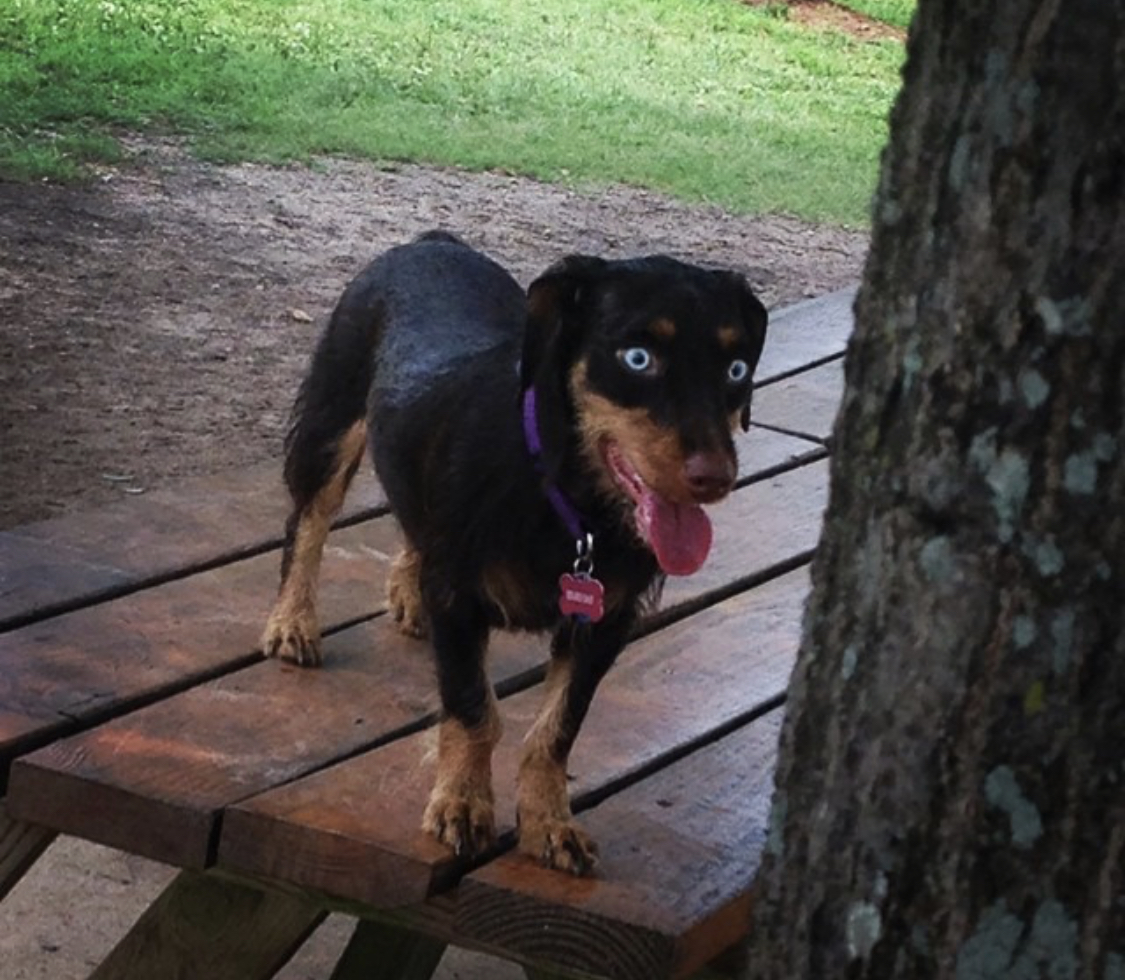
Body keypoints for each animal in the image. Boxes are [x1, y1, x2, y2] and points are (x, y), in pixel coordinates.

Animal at [263, 234, 769, 877]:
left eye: (737, 368)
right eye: (637, 358)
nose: (715, 478)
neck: (570, 501)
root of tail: (432, 241)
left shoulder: (605, 623)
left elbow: (558, 728)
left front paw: (550, 823)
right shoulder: (458, 597)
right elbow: (474, 708)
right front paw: (462, 804)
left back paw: (406, 597)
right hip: (334, 416)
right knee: (308, 522)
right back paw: (293, 622)